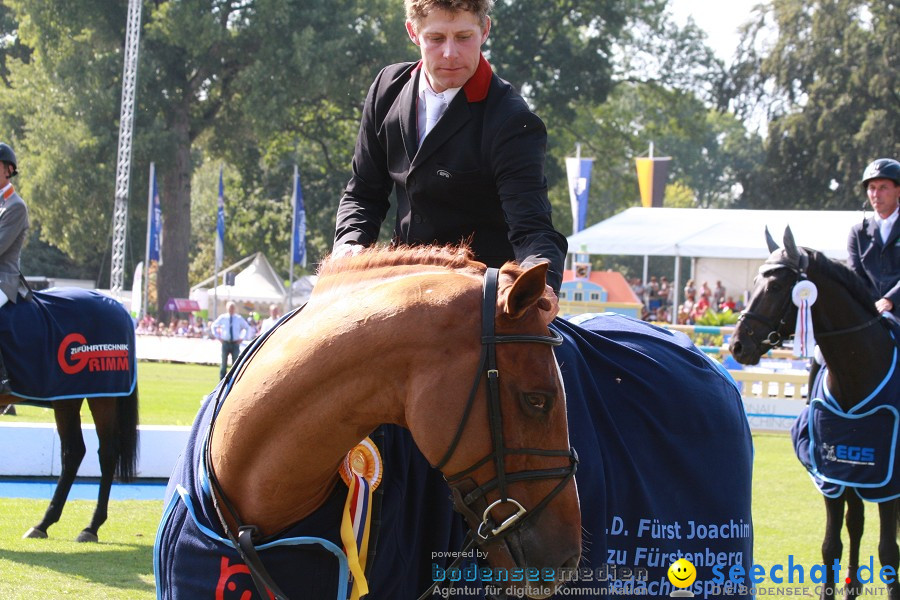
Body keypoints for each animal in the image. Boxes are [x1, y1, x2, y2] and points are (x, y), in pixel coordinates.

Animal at [0, 288, 139, 544]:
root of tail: (116, 305)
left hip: (101, 397)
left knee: (106, 453)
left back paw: (90, 527)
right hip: (67, 398)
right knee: (73, 452)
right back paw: (45, 523)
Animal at [732, 226, 900, 600]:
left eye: (775, 287)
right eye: (755, 280)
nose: (737, 345)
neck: (857, 374)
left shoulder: (887, 480)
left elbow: (888, 553)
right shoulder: (834, 472)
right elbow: (831, 544)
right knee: (855, 524)